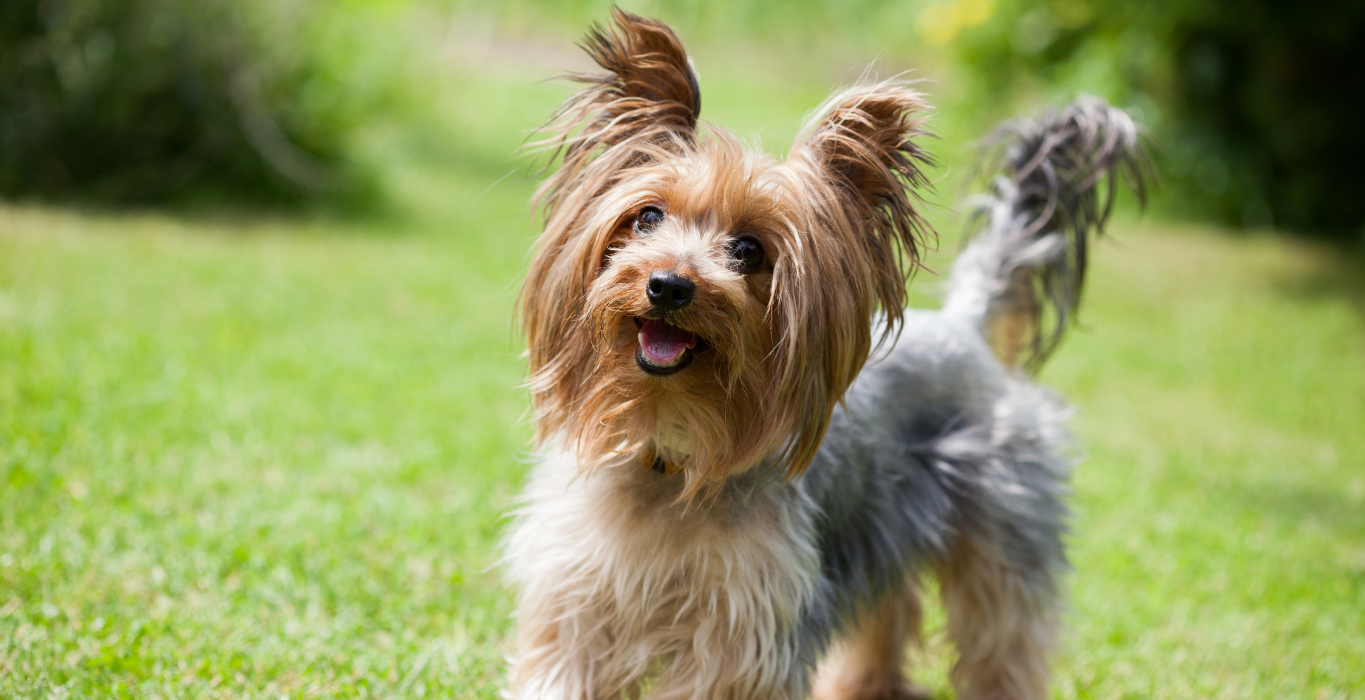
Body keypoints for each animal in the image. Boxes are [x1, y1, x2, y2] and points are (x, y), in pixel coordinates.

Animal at [502, 6, 1141, 698]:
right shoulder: (575, 598)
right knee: (888, 610)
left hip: (1001, 521)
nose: (668, 284)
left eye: (749, 251)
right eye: (646, 218)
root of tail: (966, 327)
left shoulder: (741, 628)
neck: (667, 445)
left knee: (1001, 638)